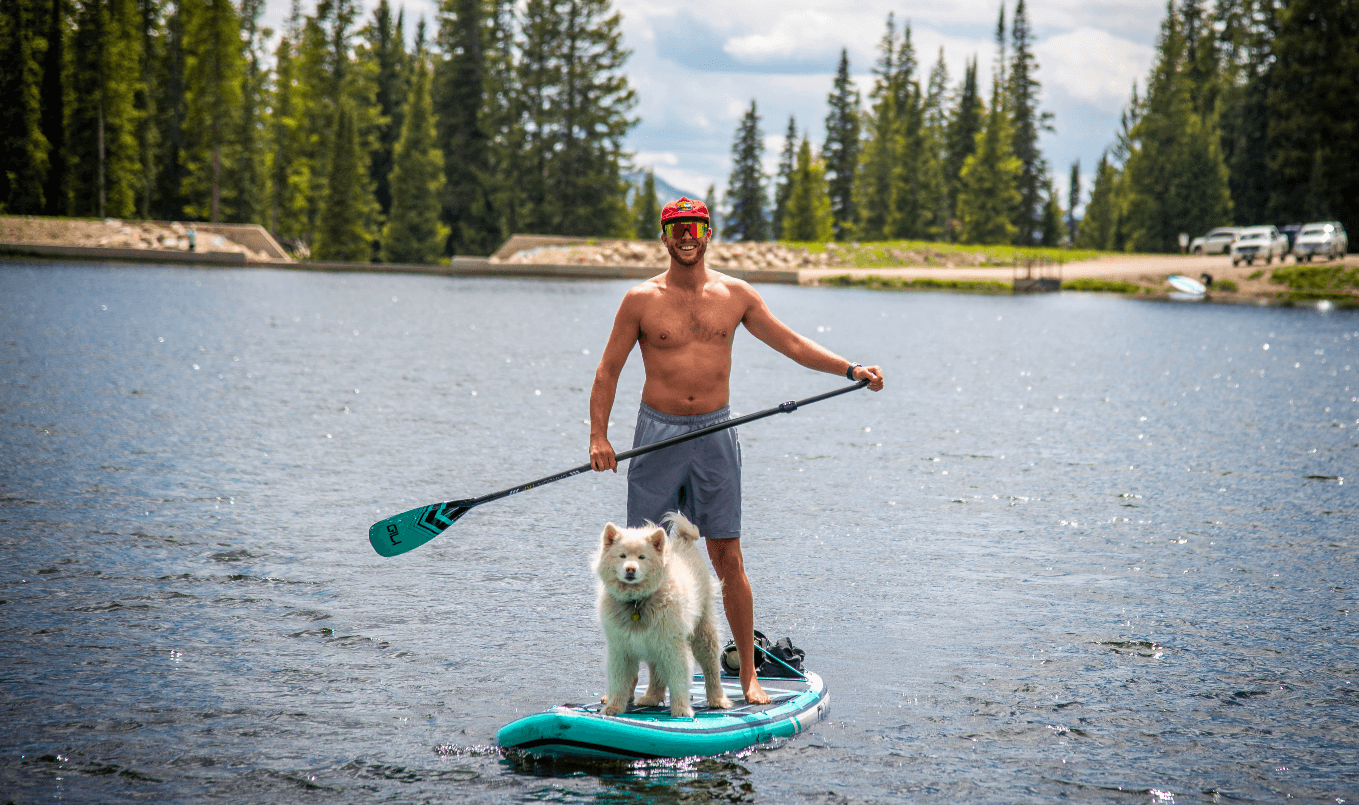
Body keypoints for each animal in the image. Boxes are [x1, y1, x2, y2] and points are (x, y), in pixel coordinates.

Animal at [595, 511, 733, 712]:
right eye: (622, 556)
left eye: (642, 557)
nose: (630, 569)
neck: (637, 602)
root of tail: (684, 541)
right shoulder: (621, 648)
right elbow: (619, 682)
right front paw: (613, 708)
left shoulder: (673, 645)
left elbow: (678, 679)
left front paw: (682, 710)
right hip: (655, 644)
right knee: (656, 672)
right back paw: (651, 697)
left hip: (702, 631)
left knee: (711, 666)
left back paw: (718, 699)